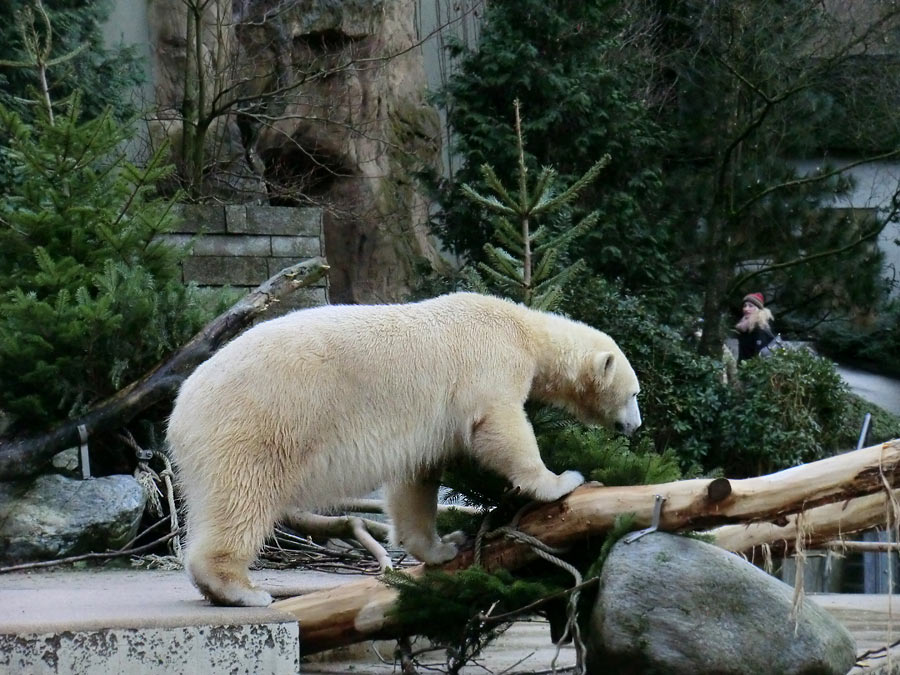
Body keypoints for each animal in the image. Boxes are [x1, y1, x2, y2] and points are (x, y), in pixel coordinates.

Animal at [165, 294, 636, 608]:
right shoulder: (491, 361)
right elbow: (498, 426)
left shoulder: (426, 428)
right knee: (243, 498)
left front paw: (446, 545)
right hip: (258, 423)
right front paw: (560, 481)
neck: (524, 329)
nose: (635, 425)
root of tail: (181, 407)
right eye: (634, 393)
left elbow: (416, 479)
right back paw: (241, 589)